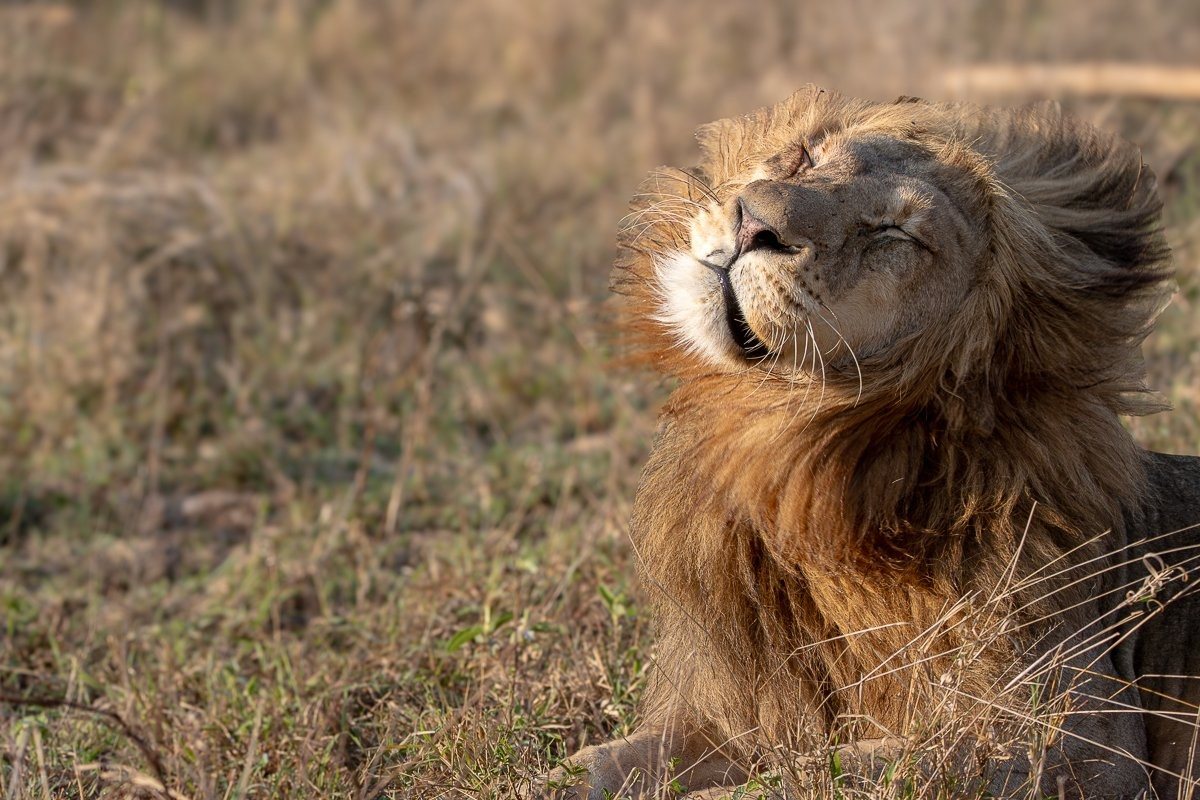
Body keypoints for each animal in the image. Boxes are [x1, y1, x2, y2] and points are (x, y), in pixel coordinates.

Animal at [533, 88, 1200, 799]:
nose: (749, 223)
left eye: (890, 232)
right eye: (803, 157)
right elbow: (603, 762)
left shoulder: (1080, 750)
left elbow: (812, 774)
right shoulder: (731, 715)